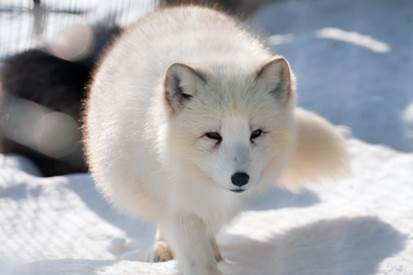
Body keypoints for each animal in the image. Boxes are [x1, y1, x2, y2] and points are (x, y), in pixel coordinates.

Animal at [83, 5, 348, 275]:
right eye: (212, 135)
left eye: (256, 133)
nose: (240, 178)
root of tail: (179, 8)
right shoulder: (178, 204)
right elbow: (195, 256)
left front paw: (215, 257)